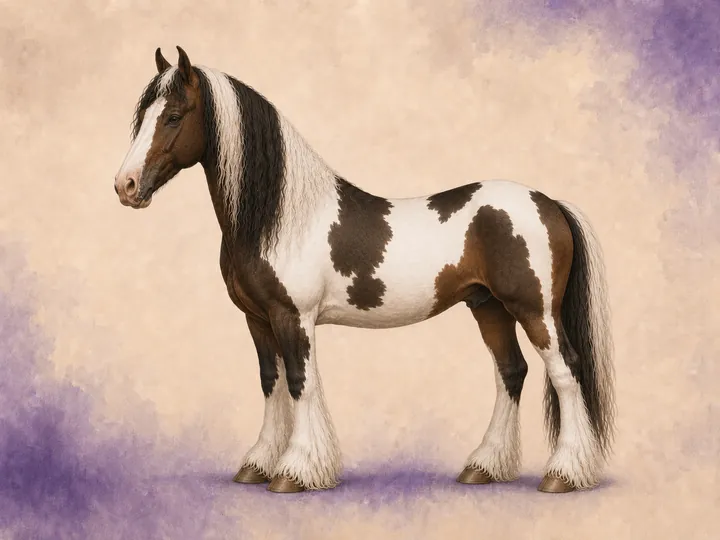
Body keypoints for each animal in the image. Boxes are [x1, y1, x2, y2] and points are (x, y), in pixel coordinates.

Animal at [113, 46, 616, 494]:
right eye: (142, 116)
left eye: (174, 116)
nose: (126, 186)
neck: (281, 216)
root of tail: (549, 203)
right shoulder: (257, 319)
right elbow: (271, 383)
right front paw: (257, 465)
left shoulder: (293, 317)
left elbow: (300, 382)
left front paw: (295, 472)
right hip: (489, 307)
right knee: (511, 373)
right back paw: (484, 467)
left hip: (535, 311)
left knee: (566, 373)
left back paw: (562, 475)